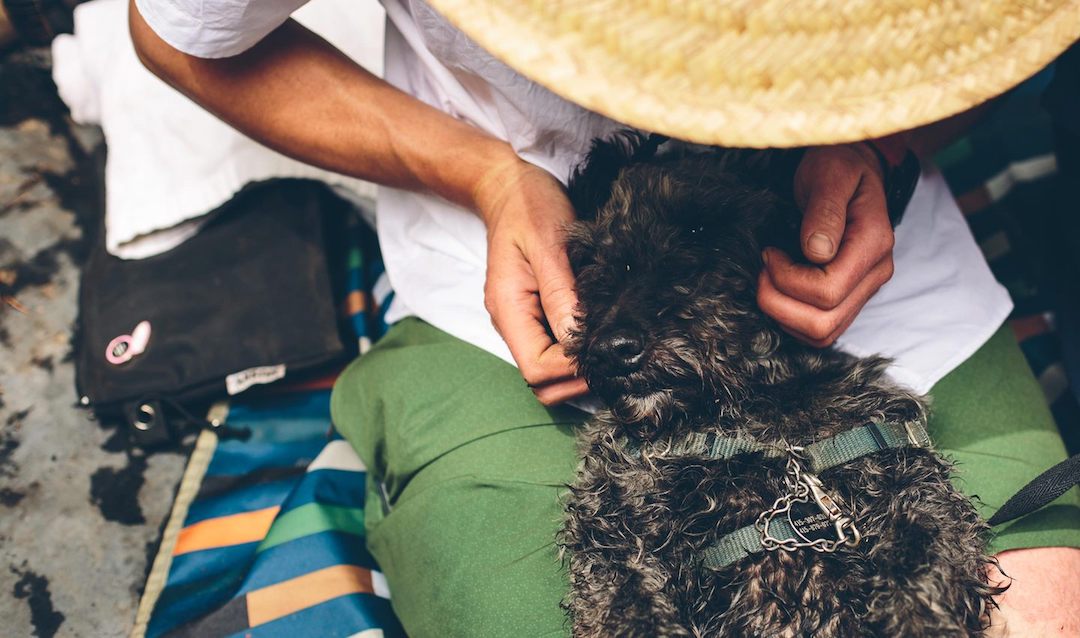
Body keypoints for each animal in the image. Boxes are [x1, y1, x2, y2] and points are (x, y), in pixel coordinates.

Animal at [559, 133, 1003, 637]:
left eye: (699, 231)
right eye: (591, 257)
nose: (612, 349)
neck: (739, 411)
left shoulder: (906, 479)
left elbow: (920, 568)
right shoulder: (611, 523)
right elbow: (629, 607)